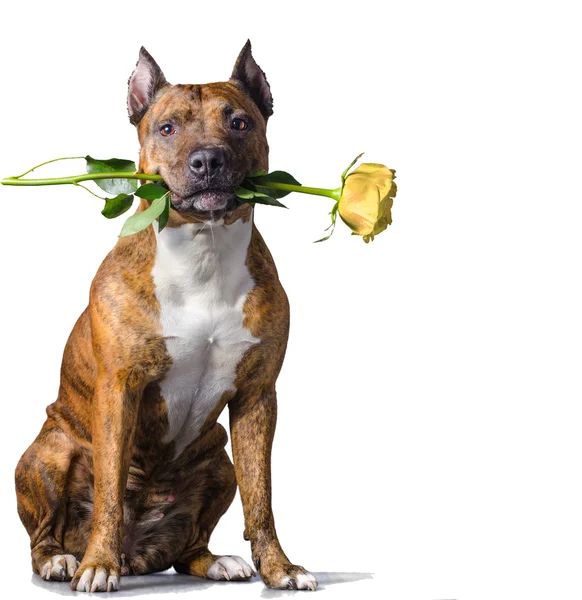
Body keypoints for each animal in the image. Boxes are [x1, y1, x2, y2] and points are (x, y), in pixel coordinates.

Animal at [13, 41, 318, 592]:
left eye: (239, 122)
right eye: (168, 128)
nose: (208, 159)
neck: (203, 251)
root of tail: (140, 553)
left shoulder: (258, 397)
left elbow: (261, 499)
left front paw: (280, 569)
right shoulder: (119, 389)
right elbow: (110, 491)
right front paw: (97, 566)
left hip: (219, 461)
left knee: (190, 543)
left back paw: (216, 561)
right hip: (47, 453)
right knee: (45, 533)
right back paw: (63, 560)